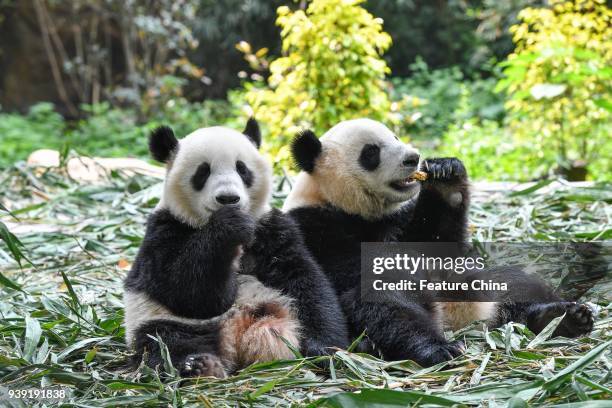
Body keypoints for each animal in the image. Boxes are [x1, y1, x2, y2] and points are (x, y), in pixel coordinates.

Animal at [123, 119, 350, 378]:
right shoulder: (164, 230)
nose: (228, 198)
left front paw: (324, 350)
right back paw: (200, 365)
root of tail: (236, 333)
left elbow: (306, 282)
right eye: (203, 172)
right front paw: (229, 227)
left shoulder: (272, 229)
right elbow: (187, 291)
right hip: (161, 319)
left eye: (242, 169)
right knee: (166, 342)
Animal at [284, 118, 596, 366]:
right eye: (371, 152)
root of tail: (456, 318)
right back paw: (436, 348)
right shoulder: (318, 228)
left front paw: (445, 175)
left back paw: (564, 317)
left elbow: (439, 245)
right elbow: (361, 276)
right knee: (384, 308)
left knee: (515, 283)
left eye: (395, 137)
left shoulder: (401, 220)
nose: (412, 157)